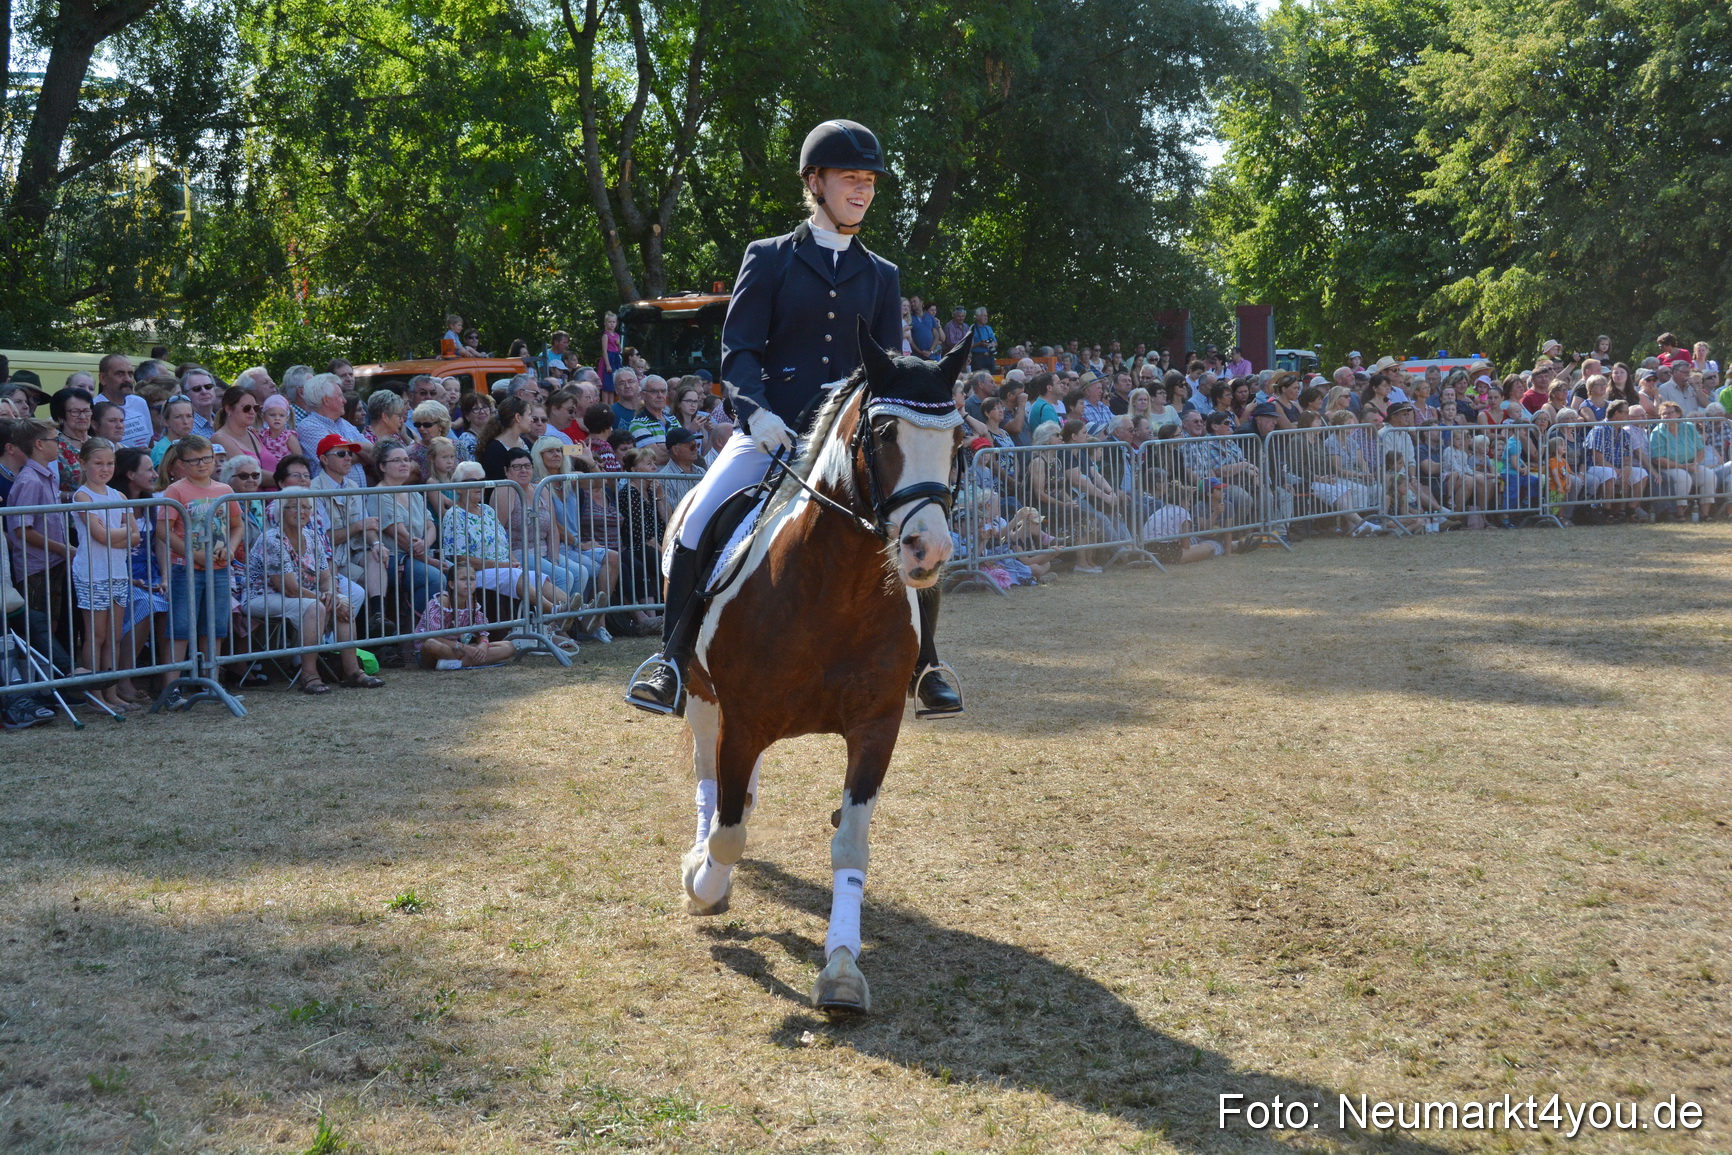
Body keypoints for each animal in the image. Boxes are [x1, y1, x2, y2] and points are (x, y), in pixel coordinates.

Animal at [665, 322, 969, 1013]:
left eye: (958, 437)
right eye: (884, 432)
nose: (928, 550)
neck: (840, 589)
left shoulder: (876, 727)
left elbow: (849, 843)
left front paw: (842, 970)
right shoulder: (744, 720)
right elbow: (726, 832)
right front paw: (704, 883)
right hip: (699, 692)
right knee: (706, 773)